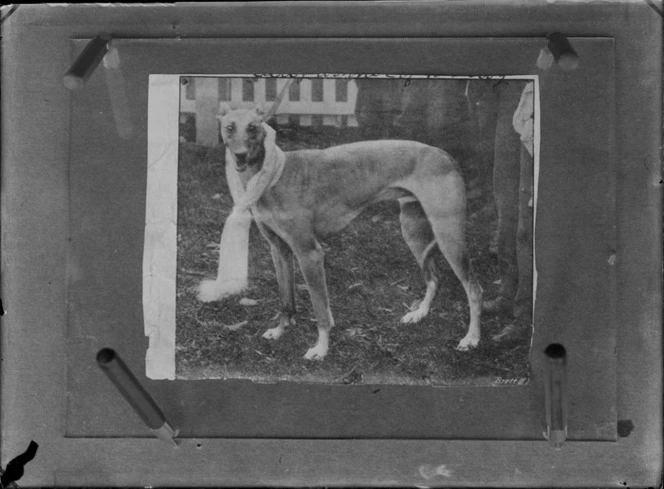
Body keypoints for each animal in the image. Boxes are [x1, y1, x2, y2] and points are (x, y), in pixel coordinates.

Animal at [205, 107, 480, 358]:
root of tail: (445, 155)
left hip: (449, 237)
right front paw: (280, 330)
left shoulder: (309, 253)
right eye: (229, 127)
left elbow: (321, 310)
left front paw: (321, 348)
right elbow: (286, 301)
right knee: (434, 278)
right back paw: (419, 314)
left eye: (253, 127)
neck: (274, 174)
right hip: (414, 232)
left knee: (474, 289)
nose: (240, 156)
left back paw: (471, 338)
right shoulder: (279, 250)